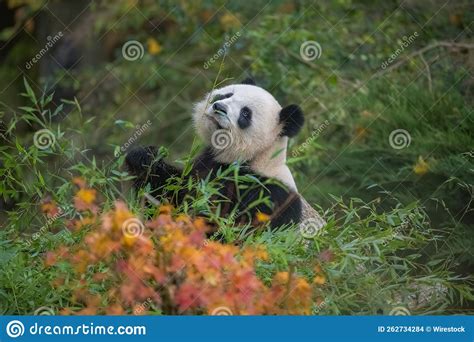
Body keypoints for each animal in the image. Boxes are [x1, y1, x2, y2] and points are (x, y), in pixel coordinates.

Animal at [126, 78, 312, 230]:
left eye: (246, 113)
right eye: (227, 94)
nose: (219, 107)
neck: (256, 158)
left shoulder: (269, 195)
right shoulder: (207, 162)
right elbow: (172, 191)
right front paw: (144, 157)